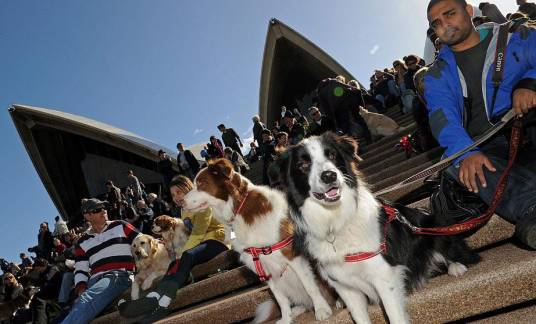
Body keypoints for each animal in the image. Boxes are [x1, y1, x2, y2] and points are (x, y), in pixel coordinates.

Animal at [182, 159, 336, 324]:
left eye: (201, 183)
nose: (181, 202)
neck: (239, 209)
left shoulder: (292, 255)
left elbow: (310, 287)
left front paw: (321, 310)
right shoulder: (263, 266)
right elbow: (280, 299)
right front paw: (286, 318)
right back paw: (298, 309)